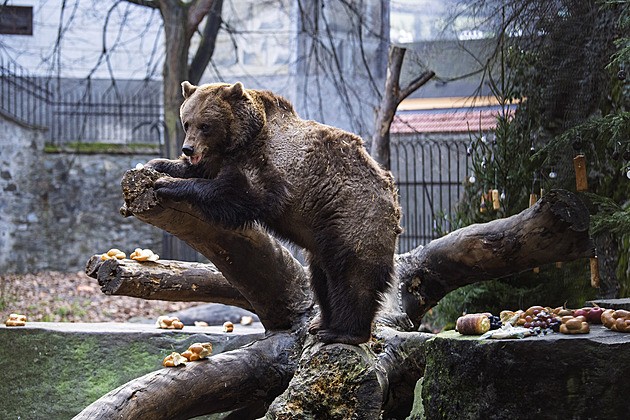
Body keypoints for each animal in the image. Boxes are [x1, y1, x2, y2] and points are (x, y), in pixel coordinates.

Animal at [146, 82, 402, 344]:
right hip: (324, 233)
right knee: (321, 277)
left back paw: (342, 331)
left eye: (205, 125)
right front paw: (156, 164)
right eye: (187, 122)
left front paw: (167, 184)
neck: (239, 140)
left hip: (352, 216)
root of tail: (391, 196)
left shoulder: (267, 165)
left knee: (352, 275)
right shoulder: (218, 158)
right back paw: (321, 323)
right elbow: (196, 170)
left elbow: (236, 193)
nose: (188, 148)